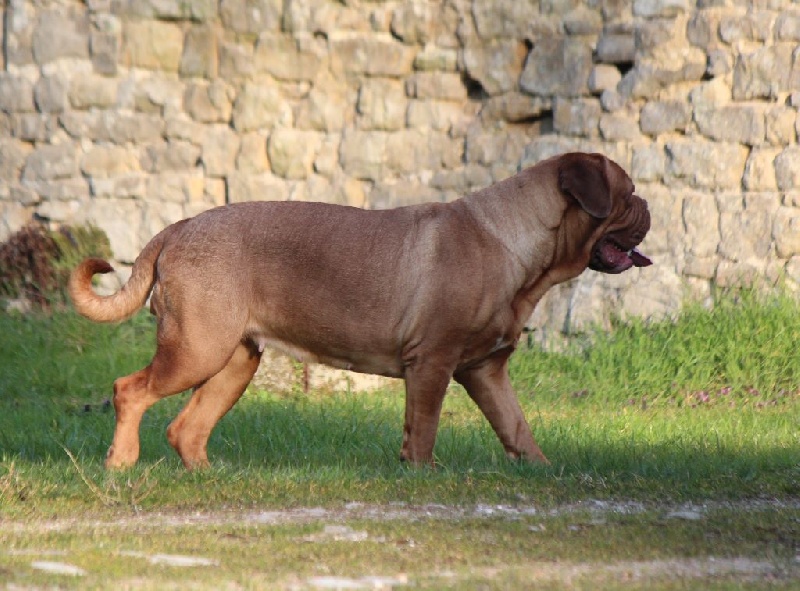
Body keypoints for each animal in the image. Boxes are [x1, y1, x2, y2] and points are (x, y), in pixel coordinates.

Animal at [70, 153, 648, 472]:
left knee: (187, 427)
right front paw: (422, 474)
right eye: (629, 194)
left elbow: (517, 427)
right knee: (130, 390)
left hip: (234, 361)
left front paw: (543, 471)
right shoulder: (433, 362)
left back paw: (211, 475)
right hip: (196, 349)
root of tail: (180, 226)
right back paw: (121, 463)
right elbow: (424, 427)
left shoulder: (486, 370)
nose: (648, 209)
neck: (519, 245)